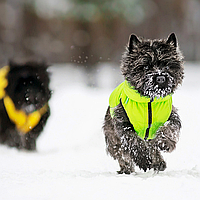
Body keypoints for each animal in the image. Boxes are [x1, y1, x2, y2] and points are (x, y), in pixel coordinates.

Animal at [103, 32, 184, 173]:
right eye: (145, 66)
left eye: (167, 65)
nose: (160, 78)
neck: (149, 100)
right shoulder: (124, 124)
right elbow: (134, 142)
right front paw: (144, 160)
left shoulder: (171, 116)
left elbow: (169, 128)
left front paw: (165, 142)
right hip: (112, 138)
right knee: (122, 154)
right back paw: (127, 169)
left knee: (152, 146)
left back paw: (159, 162)